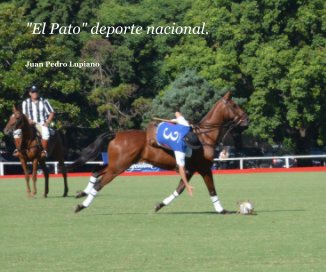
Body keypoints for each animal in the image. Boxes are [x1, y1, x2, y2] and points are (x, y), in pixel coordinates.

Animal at [69, 92, 247, 214]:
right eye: (234, 106)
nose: (247, 119)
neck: (204, 137)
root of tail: (116, 134)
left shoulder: (188, 170)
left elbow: (180, 189)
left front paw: (159, 205)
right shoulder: (204, 168)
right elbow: (212, 190)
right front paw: (222, 210)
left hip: (116, 164)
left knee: (96, 170)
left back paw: (82, 193)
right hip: (119, 166)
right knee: (99, 183)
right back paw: (81, 205)